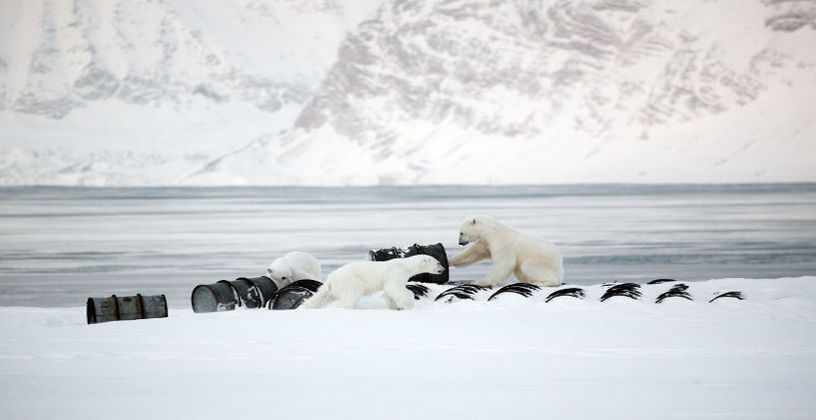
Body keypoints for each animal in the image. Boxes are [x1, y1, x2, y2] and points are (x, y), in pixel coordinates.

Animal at [300, 254, 444, 310]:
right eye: (438, 262)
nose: (442, 270)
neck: (405, 265)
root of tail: (331, 279)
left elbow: (389, 291)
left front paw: (393, 307)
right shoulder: (396, 273)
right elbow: (395, 287)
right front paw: (409, 303)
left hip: (332, 289)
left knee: (321, 297)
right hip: (351, 282)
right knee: (351, 296)